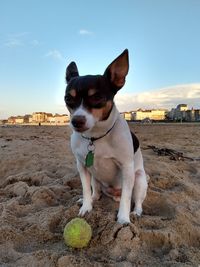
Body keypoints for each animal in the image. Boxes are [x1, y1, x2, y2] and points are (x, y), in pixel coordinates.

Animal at [65, 49, 148, 224]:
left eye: (97, 98)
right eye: (68, 99)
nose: (76, 121)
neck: (95, 137)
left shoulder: (127, 168)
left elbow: (126, 199)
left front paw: (123, 219)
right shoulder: (82, 166)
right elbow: (85, 189)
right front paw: (86, 207)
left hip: (138, 179)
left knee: (136, 201)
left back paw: (135, 213)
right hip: (95, 177)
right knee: (95, 191)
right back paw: (92, 199)